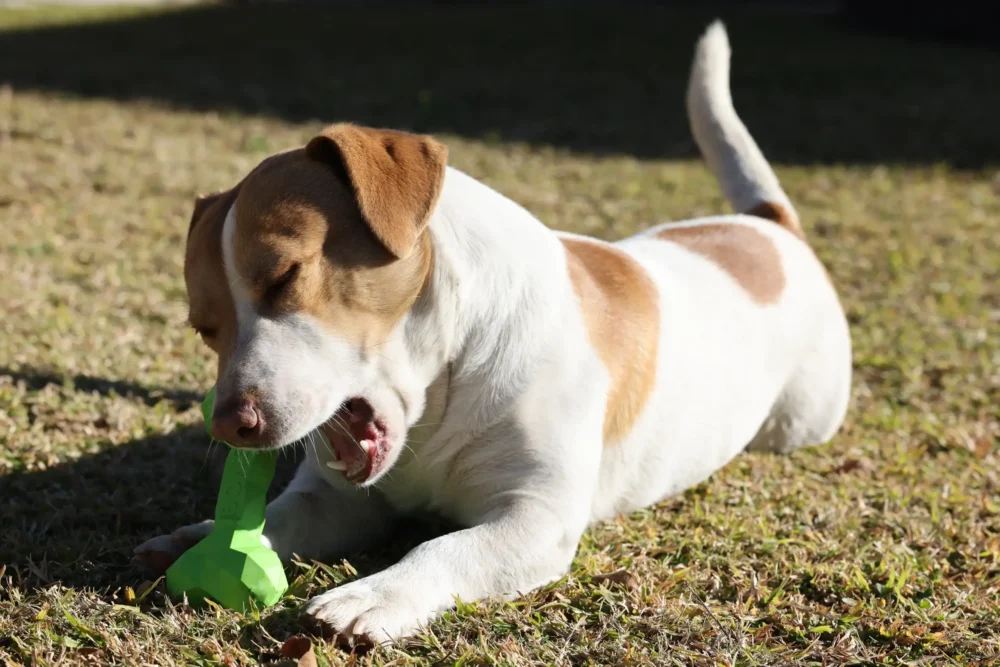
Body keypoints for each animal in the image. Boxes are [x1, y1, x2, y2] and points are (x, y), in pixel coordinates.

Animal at [135, 23, 852, 644]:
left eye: (286, 274)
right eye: (205, 327)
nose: (231, 424)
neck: (444, 384)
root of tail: (768, 224)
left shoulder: (533, 516)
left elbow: (443, 547)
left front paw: (372, 595)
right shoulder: (341, 499)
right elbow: (286, 514)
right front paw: (201, 533)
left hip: (805, 419)